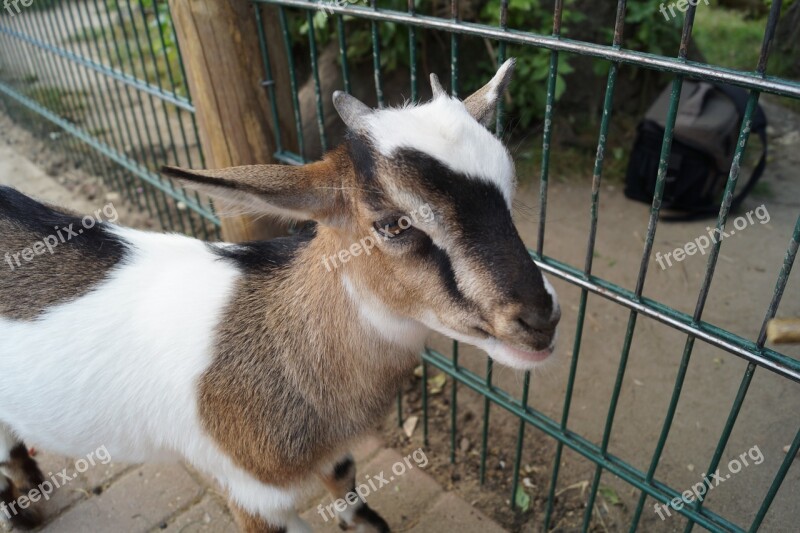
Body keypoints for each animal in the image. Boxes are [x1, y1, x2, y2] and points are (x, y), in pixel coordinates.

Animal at [0, 60, 560, 528]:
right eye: (394, 223)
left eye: (508, 191)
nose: (540, 318)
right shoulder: (253, 495)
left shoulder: (336, 457)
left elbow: (353, 498)